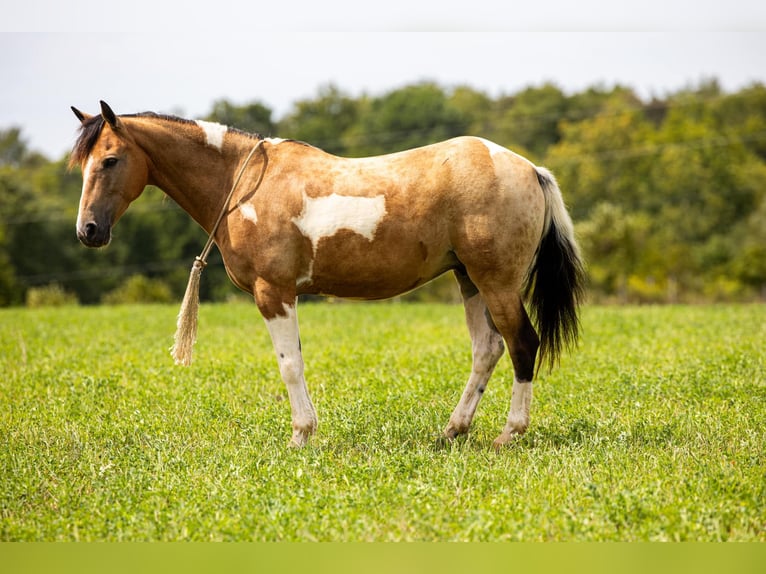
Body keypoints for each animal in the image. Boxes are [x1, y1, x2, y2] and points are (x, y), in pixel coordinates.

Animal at [69, 101, 584, 449]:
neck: (243, 182)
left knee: (522, 344)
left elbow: (289, 365)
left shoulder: (274, 294)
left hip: (496, 282)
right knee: (487, 349)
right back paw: (452, 431)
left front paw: (301, 434)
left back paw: (510, 433)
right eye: (83, 165)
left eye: (110, 159)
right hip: (469, 280)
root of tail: (529, 168)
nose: (88, 231)